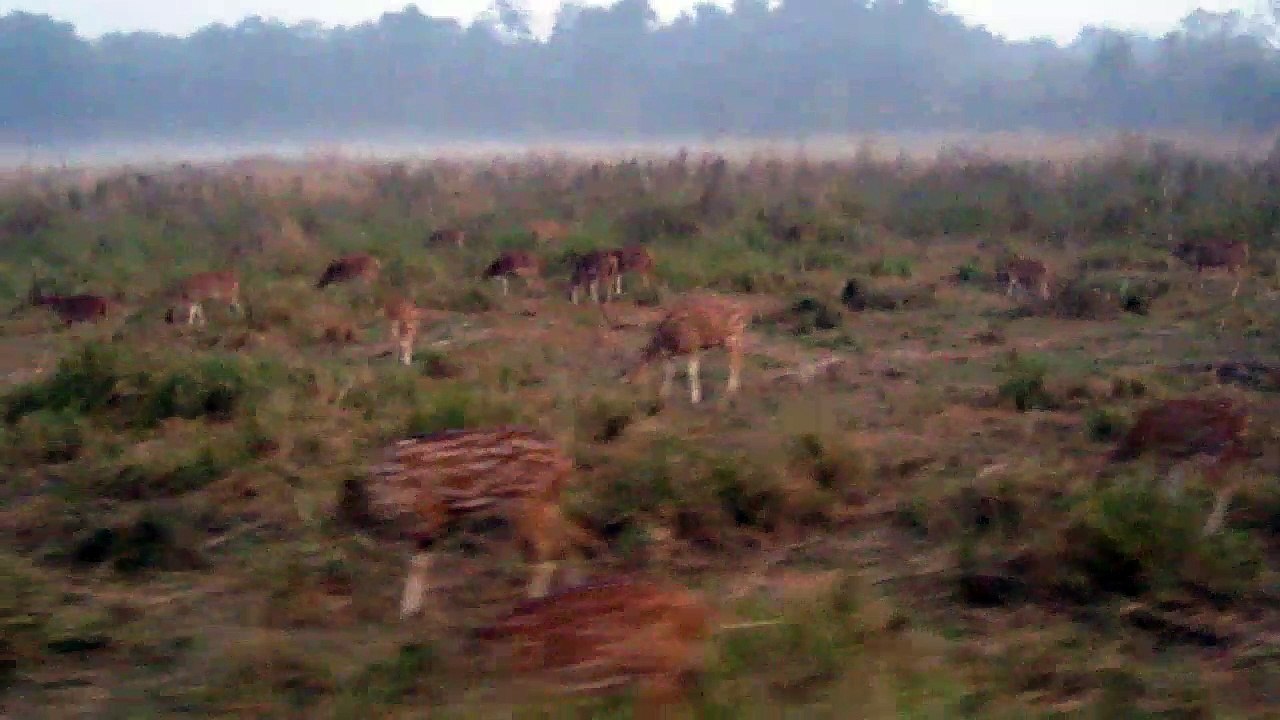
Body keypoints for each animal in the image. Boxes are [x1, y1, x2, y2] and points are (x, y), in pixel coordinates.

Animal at [340, 426, 602, 620]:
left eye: (350, 502)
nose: (351, 522)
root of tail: (563, 458)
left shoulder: (434, 513)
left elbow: (420, 560)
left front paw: (408, 611)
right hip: (544, 504)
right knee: (571, 536)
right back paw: (574, 587)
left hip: (527, 506)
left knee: (548, 546)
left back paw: (534, 599)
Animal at [1107, 397, 1251, 536]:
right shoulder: (1174, 458)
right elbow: (1168, 486)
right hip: (1225, 458)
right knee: (1231, 485)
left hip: (1209, 459)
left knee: (1226, 488)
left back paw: (1207, 531)